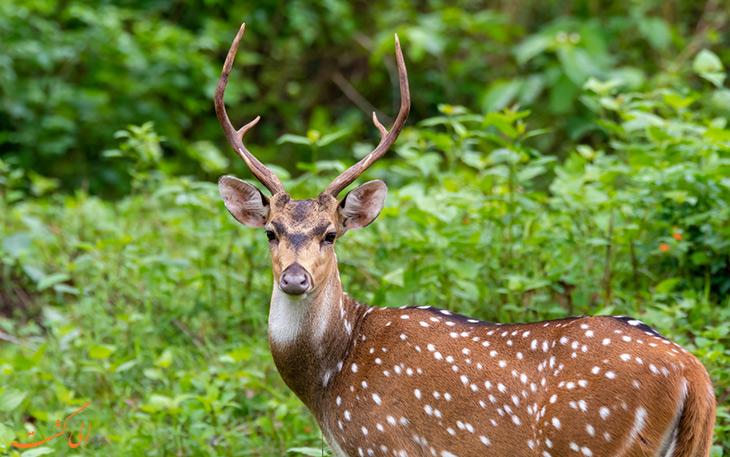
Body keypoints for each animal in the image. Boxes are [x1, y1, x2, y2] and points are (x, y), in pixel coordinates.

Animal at [213, 22, 712, 457]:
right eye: (271, 232)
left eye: (331, 234)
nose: (295, 278)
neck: (330, 377)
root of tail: (696, 375)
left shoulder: (384, 441)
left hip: (591, 438)